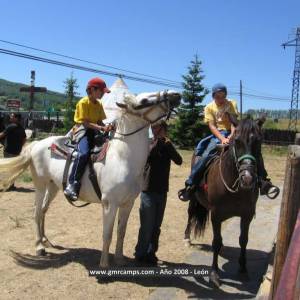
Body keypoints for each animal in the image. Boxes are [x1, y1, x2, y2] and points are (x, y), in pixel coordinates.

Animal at [0, 89, 180, 268]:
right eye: (143, 101)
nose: (175, 95)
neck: (122, 158)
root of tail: (36, 144)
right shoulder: (109, 204)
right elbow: (107, 234)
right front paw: (104, 264)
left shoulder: (128, 204)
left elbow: (121, 231)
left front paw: (120, 259)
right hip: (40, 185)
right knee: (37, 212)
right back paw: (39, 247)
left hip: (53, 187)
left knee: (43, 210)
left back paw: (45, 240)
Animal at [188, 118, 262, 288]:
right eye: (237, 141)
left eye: (258, 141)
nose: (247, 178)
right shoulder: (216, 215)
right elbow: (216, 242)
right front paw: (214, 274)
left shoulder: (247, 215)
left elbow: (243, 240)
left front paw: (243, 270)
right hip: (193, 198)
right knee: (190, 214)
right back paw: (186, 237)